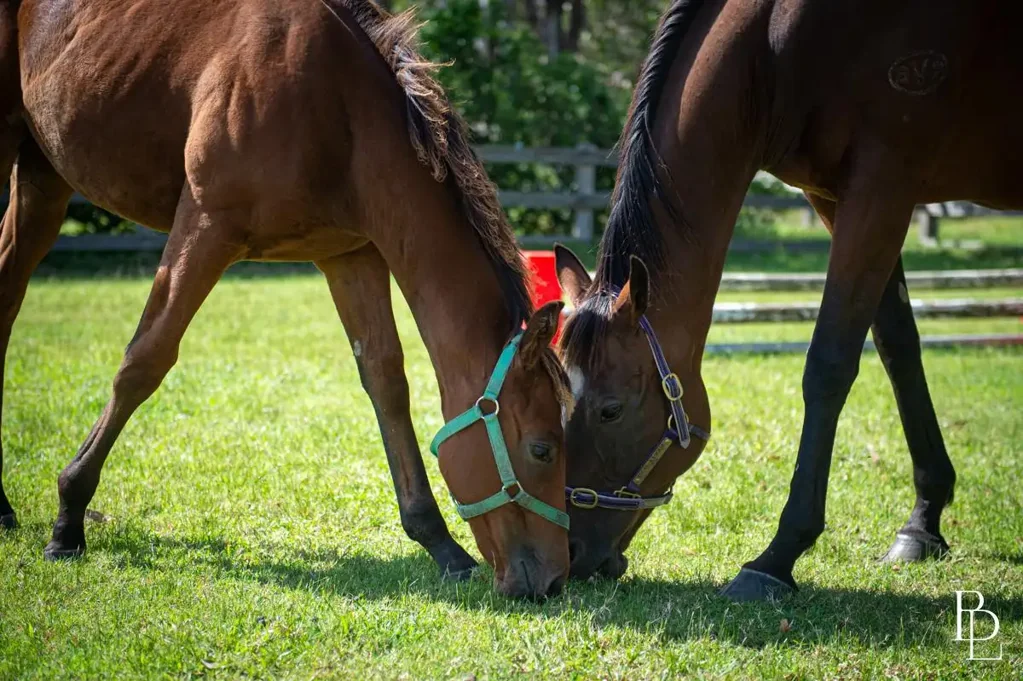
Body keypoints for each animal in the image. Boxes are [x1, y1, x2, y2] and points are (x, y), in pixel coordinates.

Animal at [0, 0, 572, 600]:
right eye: (543, 449)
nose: (556, 579)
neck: (338, 105)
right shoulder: (205, 228)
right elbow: (143, 362)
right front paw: (68, 517)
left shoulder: (352, 255)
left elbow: (387, 384)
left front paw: (439, 543)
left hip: (43, 177)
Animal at [554, 0, 1023, 600]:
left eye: (610, 410)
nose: (566, 550)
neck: (777, 47)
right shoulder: (835, 197)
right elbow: (897, 346)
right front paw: (923, 520)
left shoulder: (882, 186)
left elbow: (829, 363)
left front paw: (777, 556)